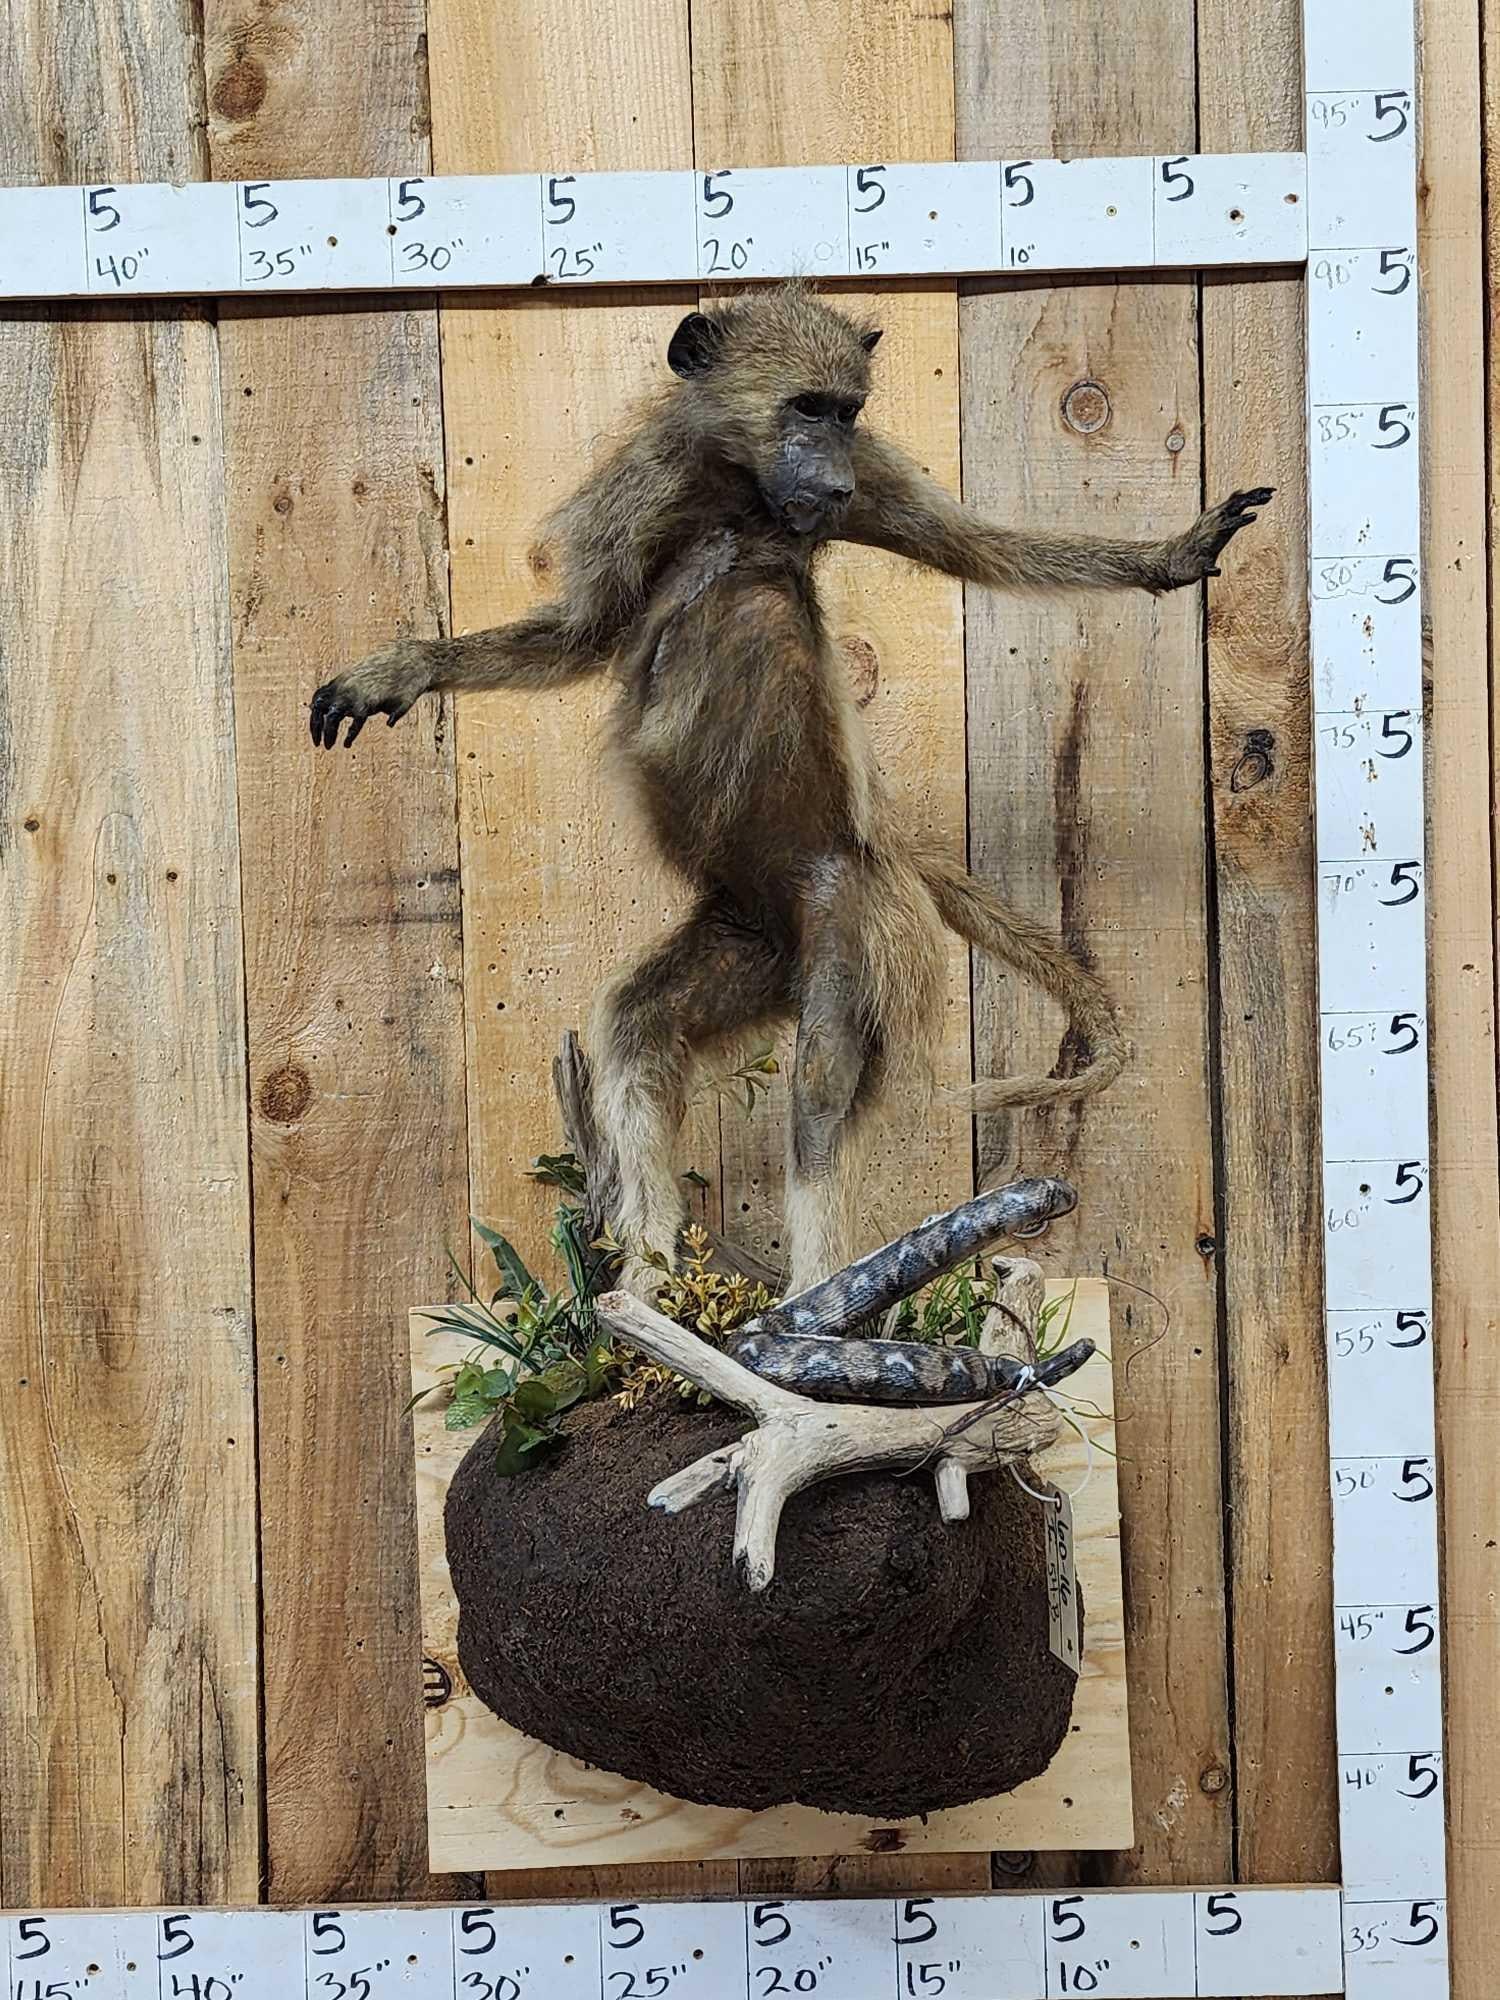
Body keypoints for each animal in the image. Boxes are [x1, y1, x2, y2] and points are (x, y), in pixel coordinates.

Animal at [310, 281, 1272, 1300]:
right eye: (808, 407)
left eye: (846, 412)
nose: (833, 480)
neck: (741, 495)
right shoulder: (646, 486)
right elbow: (580, 634)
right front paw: (403, 671)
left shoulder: (870, 480)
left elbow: (982, 547)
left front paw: (1170, 557)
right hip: (752, 941)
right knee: (640, 1031)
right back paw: (652, 1281)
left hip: (859, 920)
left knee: (818, 1088)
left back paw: (812, 1298)